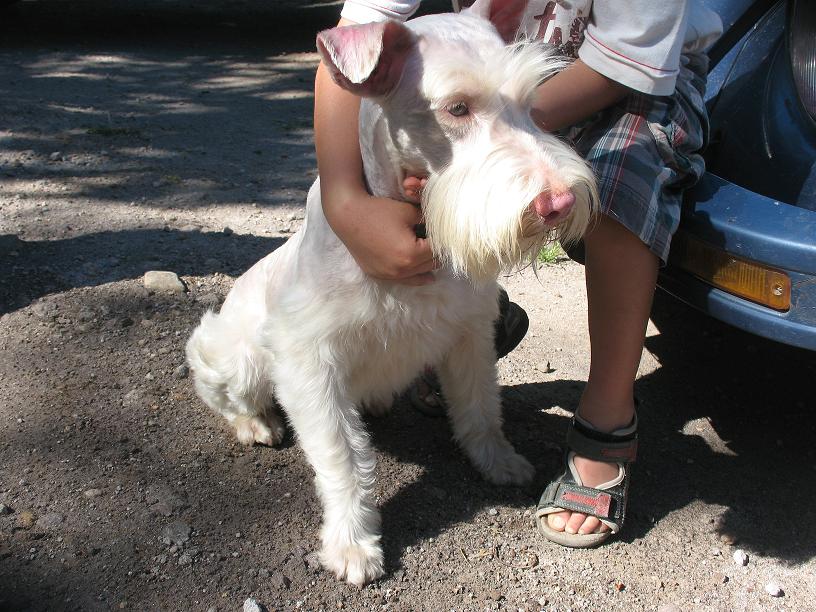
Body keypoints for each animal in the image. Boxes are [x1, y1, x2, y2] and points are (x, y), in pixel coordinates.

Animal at [186, 0, 592, 584]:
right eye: (457, 107)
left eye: (528, 103)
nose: (558, 201)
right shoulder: (309, 364)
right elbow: (341, 457)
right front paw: (353, 543)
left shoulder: (469, 335)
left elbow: (479, 408)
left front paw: (497, 461)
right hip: (232, 355)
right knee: (223, 391)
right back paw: (256, 423)